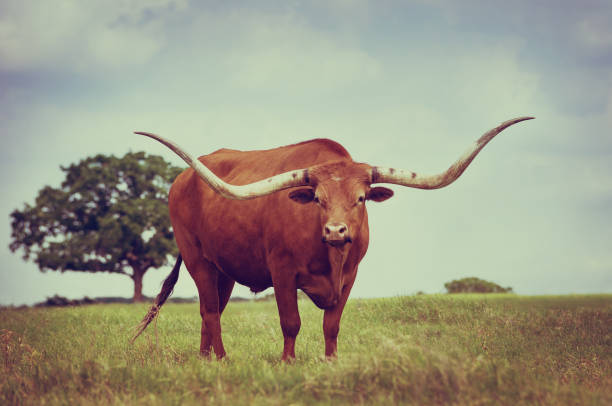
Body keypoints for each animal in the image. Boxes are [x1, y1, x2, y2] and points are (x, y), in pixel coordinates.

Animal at [133, 116, 532, 360]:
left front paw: (330, 361)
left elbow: (332, 324)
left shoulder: (351, 276)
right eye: (318, 200)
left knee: (211, 308)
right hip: (197, 258)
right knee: (211, 310)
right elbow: (290, 321)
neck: (329, 256)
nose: (336, 231)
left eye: (361, 198)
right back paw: (222, 358)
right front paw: (288, 362)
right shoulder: (281, 272)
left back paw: (205, 359)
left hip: (225, 268)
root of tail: (183, 178)